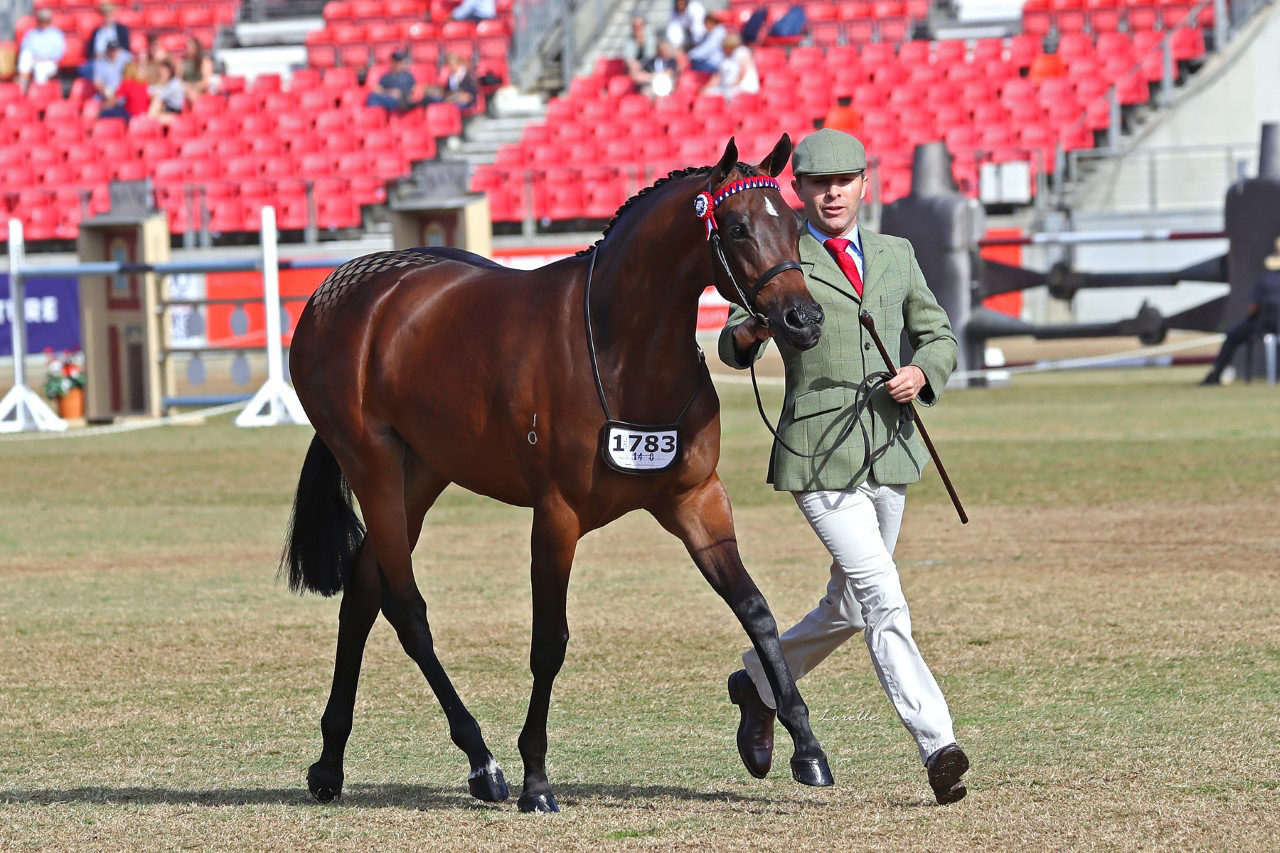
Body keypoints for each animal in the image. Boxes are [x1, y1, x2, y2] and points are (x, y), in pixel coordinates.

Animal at [282, 134, 829, 809]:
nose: (803, 320)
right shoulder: (556, 518)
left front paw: (806, 746)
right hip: (372, 462)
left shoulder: (696, 500)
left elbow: (756, 610)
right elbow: (549, 643)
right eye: (736, 227)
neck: (624, 350)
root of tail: (340, 286)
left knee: (362, 589)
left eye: (796, 226)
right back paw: (481, 760)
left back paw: (331, 761)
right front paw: (536, 778)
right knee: (405, 608)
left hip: (423, 469)